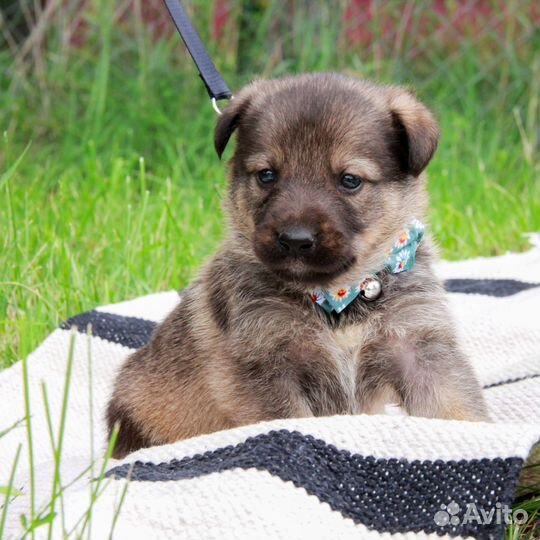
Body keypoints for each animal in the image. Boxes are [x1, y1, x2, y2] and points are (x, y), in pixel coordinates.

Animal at [106, 73, 490, 460]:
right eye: (267, 175)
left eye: (349, 180)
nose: (295, 240)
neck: (340, 296)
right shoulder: (268, 365)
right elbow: (286, 420)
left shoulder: (420, 347)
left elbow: (455, 407)